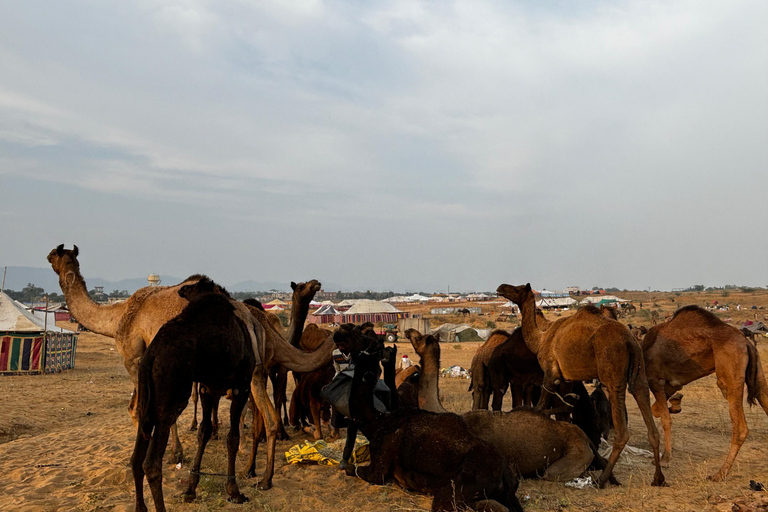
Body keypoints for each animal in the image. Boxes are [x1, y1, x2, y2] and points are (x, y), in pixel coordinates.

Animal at [48, 244, 332, 488]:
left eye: (56, 254)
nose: (49, 255)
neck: (118, 316)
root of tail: (258, 321)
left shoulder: (135, 358)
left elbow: (140, 410)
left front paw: (171, 454)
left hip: (249, 372)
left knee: (263, 413)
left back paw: (259, 474)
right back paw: (260, 472)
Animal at [130, 278, 254, 512]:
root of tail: (150, 356)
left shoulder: (208, 387)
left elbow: (204, 432)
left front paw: (191, 489)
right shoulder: (241, 386)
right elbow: (232, 437)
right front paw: (234, 491)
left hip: (146, 403)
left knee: (135, 459)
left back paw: (141, 507)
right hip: (171, 399)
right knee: (151, 463)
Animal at [342, 328, 520, 512]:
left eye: (419, 337)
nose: (408, 331)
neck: (377, 421)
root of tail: (505, 474)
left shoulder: (378, 465)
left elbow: (353, 469)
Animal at [496, 284, 664, 488]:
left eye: (518, 288)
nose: (501, 288)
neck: (541, 339)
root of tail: (630, 340)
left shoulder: (550, 373)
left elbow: (540, 407)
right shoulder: (566, 379)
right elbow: (564, 411)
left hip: (613, 371)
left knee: (622, 431)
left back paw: (602, 479)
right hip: (639, 370)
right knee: (648, 415)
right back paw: (658, 478)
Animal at [640, 304, 768, 480]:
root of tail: (746, 343)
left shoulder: (656, 380)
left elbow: (666, 420)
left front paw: (665, 459)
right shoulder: (671, 385)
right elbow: (657, 410)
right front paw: (676, 404)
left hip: (729, 377)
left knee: (740, 428)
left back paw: (719, 473)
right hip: (759, 376)